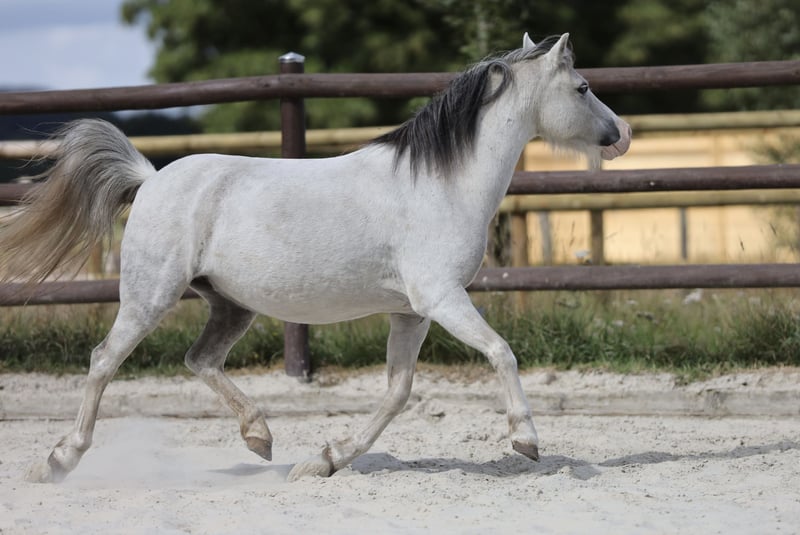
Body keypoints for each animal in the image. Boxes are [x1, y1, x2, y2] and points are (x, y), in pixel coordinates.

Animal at [1, 33, 630, 483]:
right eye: (581, 87)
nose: (621, 134)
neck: (440, 184)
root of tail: (150, 178)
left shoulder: (412, 312)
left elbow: (398, 392)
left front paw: (324, 460)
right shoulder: (442, 298)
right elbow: (501, 352)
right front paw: (526, 440)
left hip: (230, 305)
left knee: (200, 361)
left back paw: (260, 437)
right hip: (149, 295)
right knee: (104, 361)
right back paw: (59, 461)